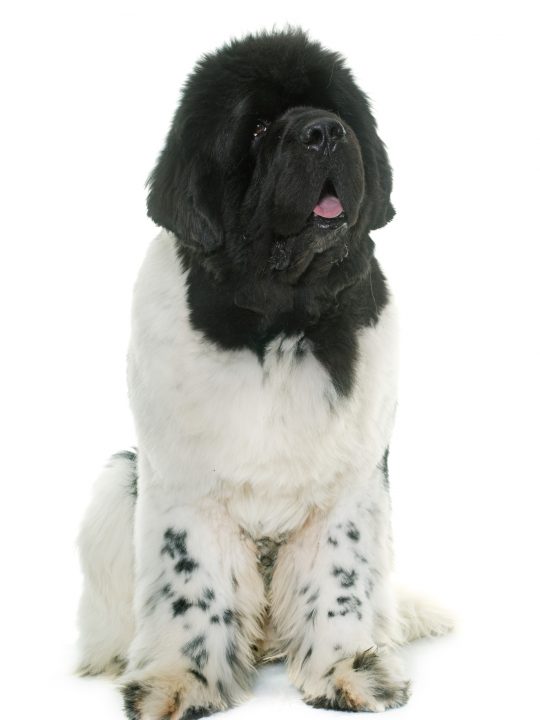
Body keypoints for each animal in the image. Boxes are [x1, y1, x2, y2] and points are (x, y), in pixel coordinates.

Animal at [77, 28, 452, 720]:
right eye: (255, 129)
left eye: (335, 109)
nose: (323, 131)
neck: (281, 322)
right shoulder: (185, 484)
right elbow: (191, 583)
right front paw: (180, 681)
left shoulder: (351, 483)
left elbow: (341, 578)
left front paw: (349, 669)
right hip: (119, 482)